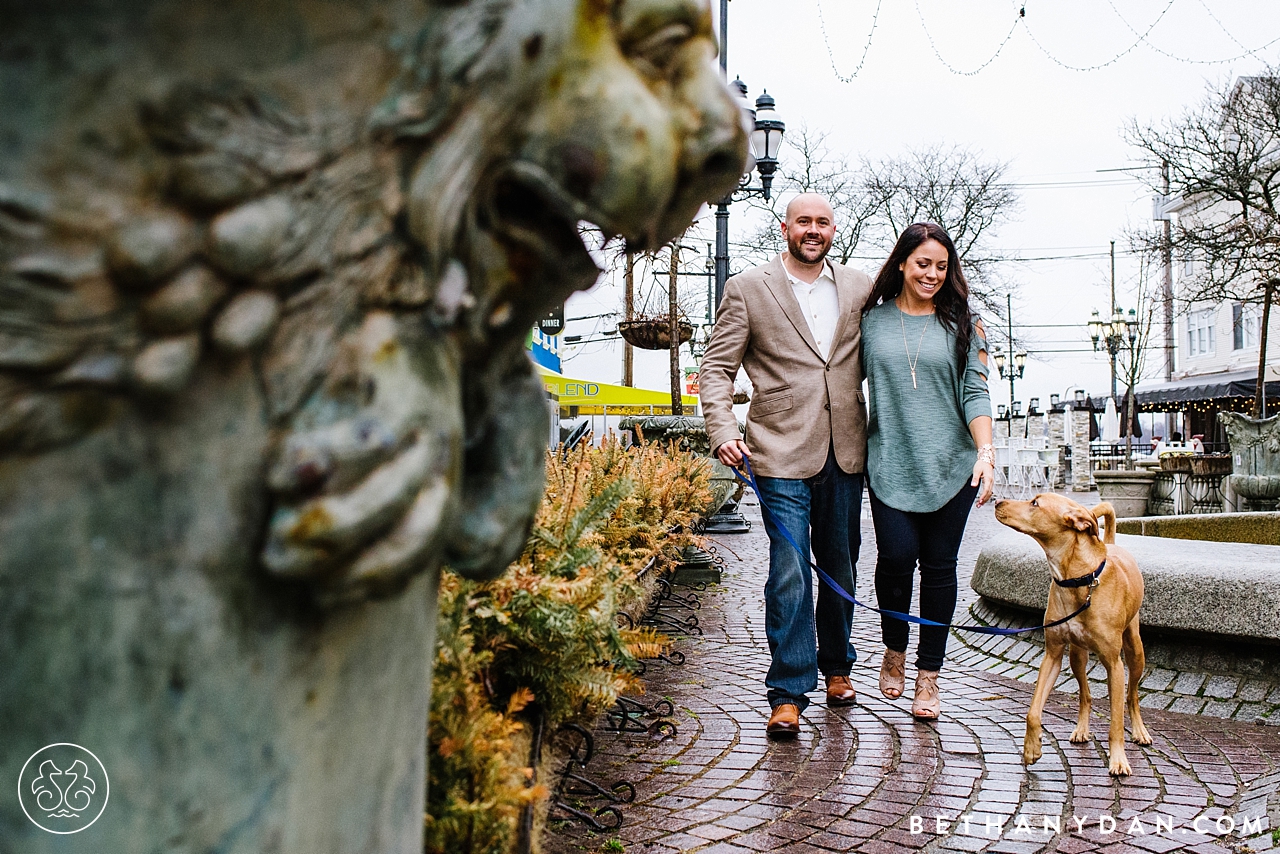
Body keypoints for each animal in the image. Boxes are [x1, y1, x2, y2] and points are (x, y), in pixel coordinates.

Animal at [993, 491, 1157, 778]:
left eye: (1035, 503)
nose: (997, 502)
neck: (1078, 580)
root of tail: (1111, 544)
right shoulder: (1052, 655)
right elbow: (1033, 710)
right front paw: (1032, 748)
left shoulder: (1114, 665)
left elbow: (1116, 722)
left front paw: (1118, 759)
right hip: (1077, 657)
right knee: (1085, 695)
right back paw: (1081, 728)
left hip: (1135, 651)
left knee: (1132, 696)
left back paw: (1139, 730)